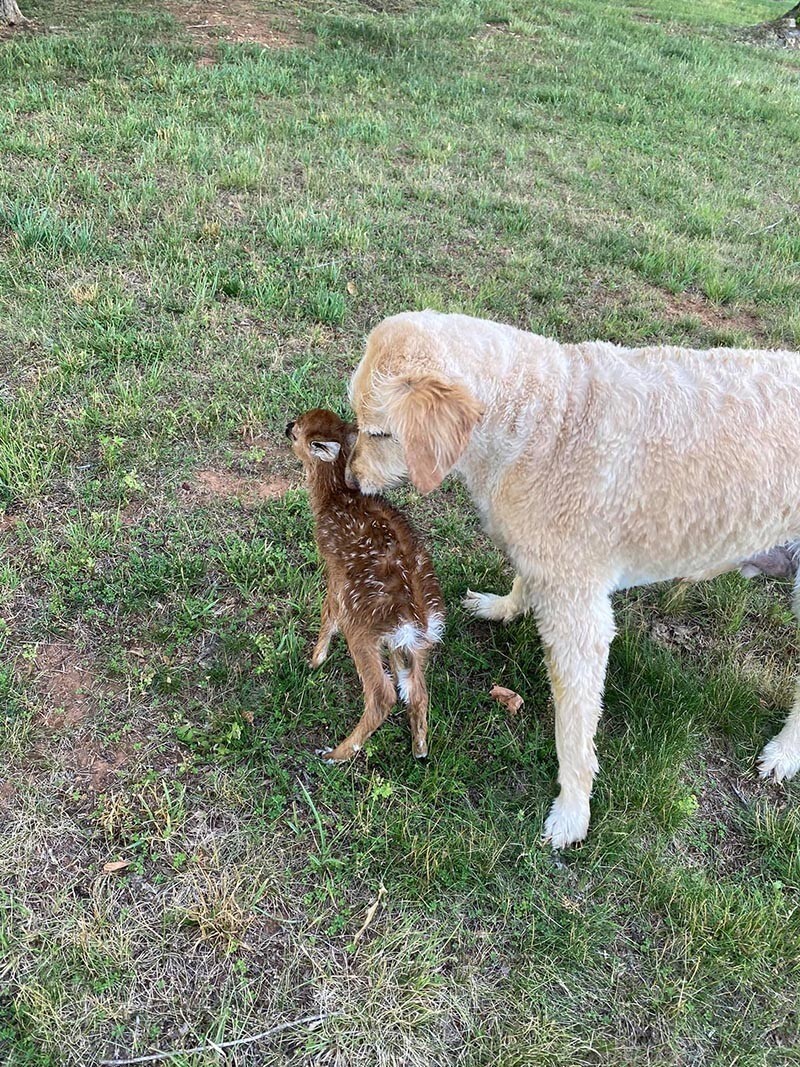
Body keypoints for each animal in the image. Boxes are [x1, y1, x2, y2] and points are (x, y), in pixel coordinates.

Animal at [347, 311, 800, 849]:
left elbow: (574, 730)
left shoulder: (580, 617)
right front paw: (503, 607)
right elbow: (523, 582)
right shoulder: (543, 559)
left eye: (380, 433)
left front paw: (572, 812)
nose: (349, 482)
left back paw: (785, 753)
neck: (543, 418)